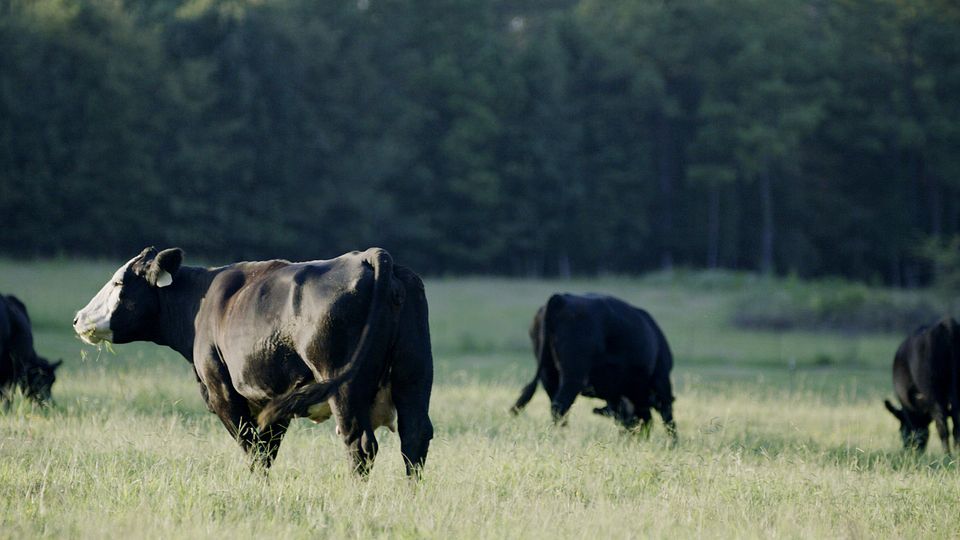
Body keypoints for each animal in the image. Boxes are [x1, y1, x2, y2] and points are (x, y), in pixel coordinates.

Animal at [73, 247, 434, 477]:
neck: (200, 304)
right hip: (414, 374)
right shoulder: (273, 401)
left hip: (344, 387)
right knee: (415, 438)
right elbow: (267, 452)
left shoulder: (223, 392)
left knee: (359, 444)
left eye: (119, 282)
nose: (78, 318)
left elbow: (253, 450)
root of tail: (368, 257)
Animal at [510, 293, 677, 441]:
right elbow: (668, 416)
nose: (636, 436)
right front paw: (673, 444)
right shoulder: (662, 381)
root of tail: (561, 298)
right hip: (572, 376)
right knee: (560, 406)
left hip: (548, 374)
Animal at [884, 317, 960, 453]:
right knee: (956, 422)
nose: (908, 450)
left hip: (934, 392)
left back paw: (947, 454)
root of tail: (946, 323)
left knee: (942, 425)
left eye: (901, 431)